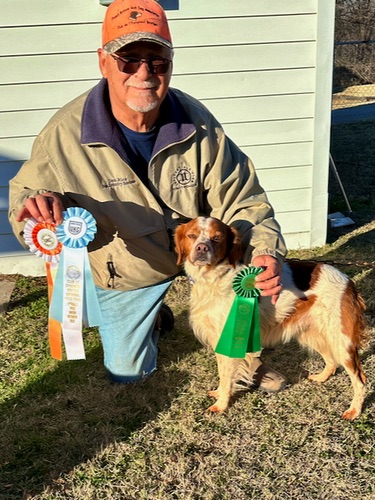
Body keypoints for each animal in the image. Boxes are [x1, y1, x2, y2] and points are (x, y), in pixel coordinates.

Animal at [175, 217, 368, 420]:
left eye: (217, 238)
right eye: (192, 235)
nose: (202, 248)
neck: (213, 278)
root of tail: (348, 281)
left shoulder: (231, 340)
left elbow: (227, 377)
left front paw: (221, 405)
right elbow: (223, 374)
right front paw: (219, 394)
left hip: (341, 341)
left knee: (360, 378)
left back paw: (354, 410)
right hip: (313, 333)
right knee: (331, 361)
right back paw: (321, 378)